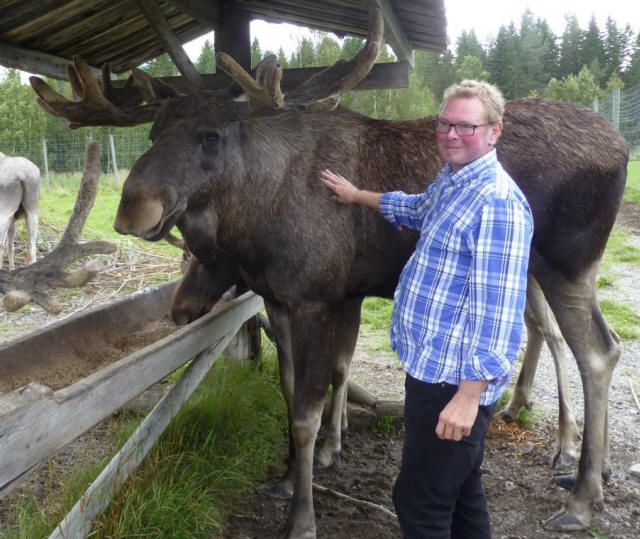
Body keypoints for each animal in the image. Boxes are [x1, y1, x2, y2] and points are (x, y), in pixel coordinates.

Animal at [30, 10, 628, 537]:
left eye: (210, 136)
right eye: (153, 131)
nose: (133, 210)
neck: (256, 219)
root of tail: (621, 146)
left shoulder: (316, 299)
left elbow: (306, 412)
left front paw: (302, 517)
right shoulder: (280, 299)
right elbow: (289, 389)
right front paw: (286, 478)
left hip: (564, 262)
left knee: (597, 352)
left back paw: (582, 496)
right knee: (588, 340)